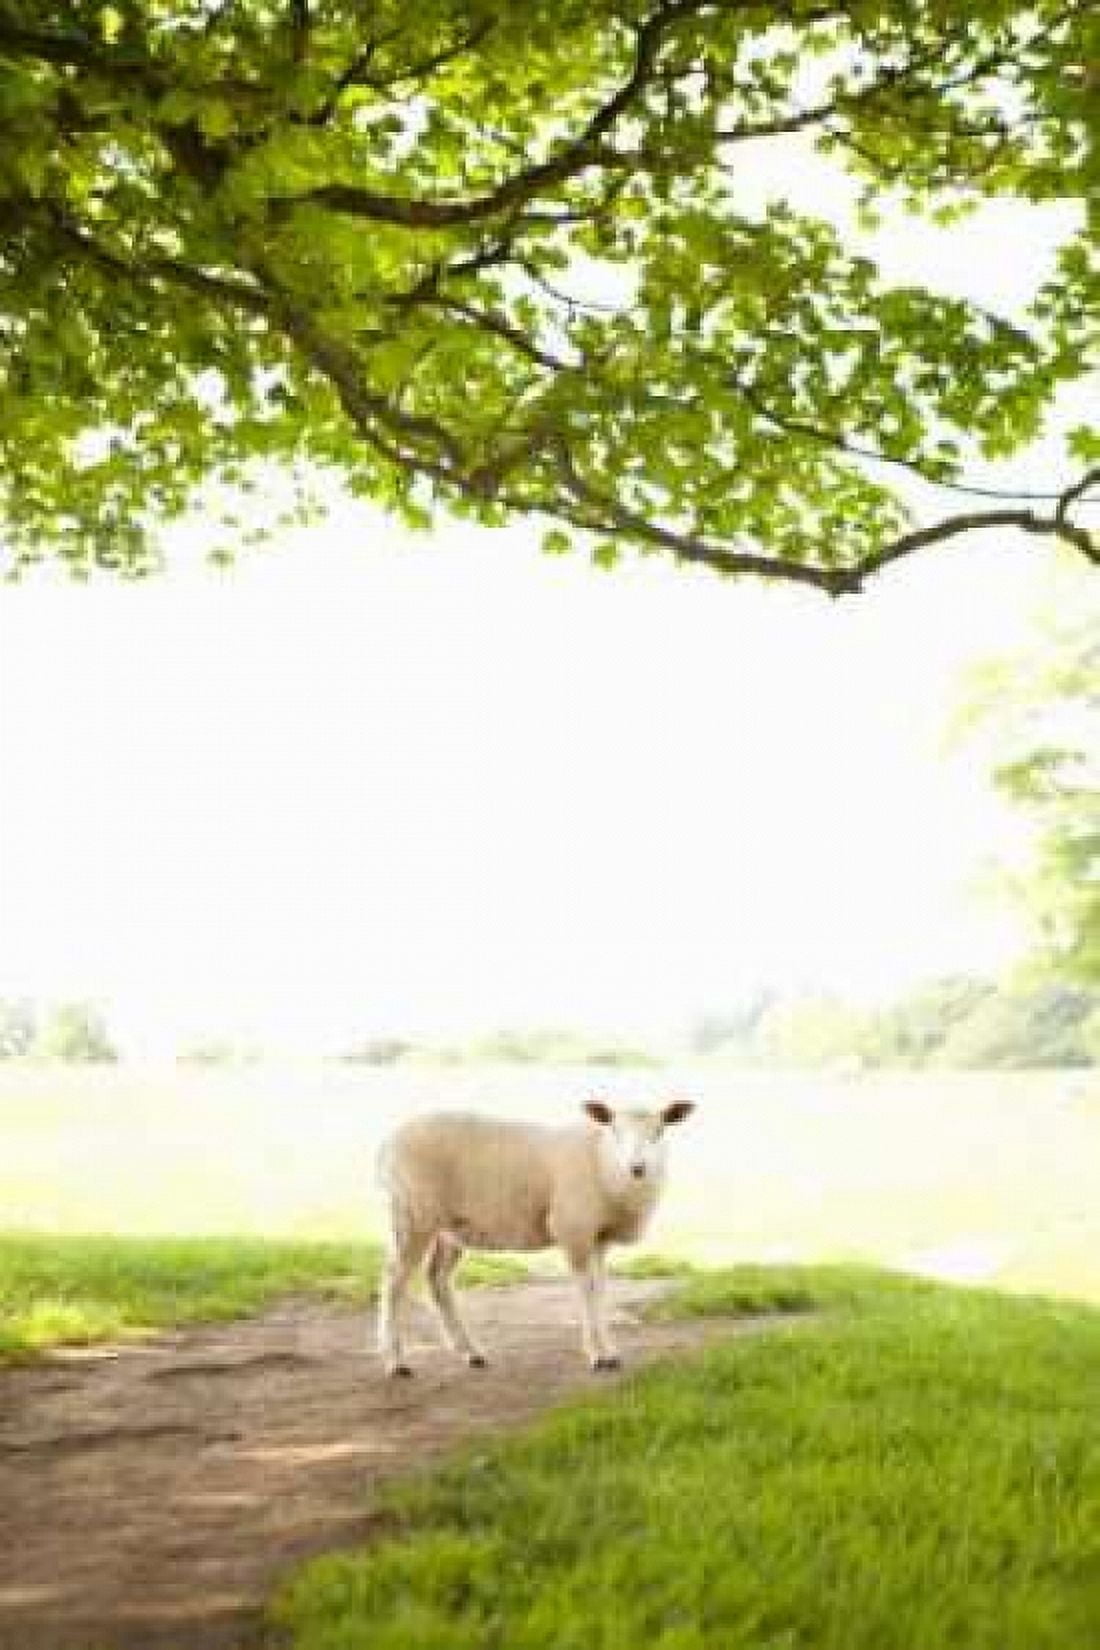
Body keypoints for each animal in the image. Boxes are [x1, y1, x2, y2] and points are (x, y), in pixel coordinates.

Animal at [375, 1097, 694, 1376]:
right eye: (614, 1130)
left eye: (660, 1131)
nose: (637, 1168)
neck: (602, 1161)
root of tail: (388, 1141)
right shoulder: (574, 1228)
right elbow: (586, 1291)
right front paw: (597, 1356)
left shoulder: (598, 1237)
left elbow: (601, 1291)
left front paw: (609, 1352)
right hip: (412, 1213)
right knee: (394, 1283)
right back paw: (396, 1361)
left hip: (449, 1226)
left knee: (437, 1279)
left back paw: (470, 1352)